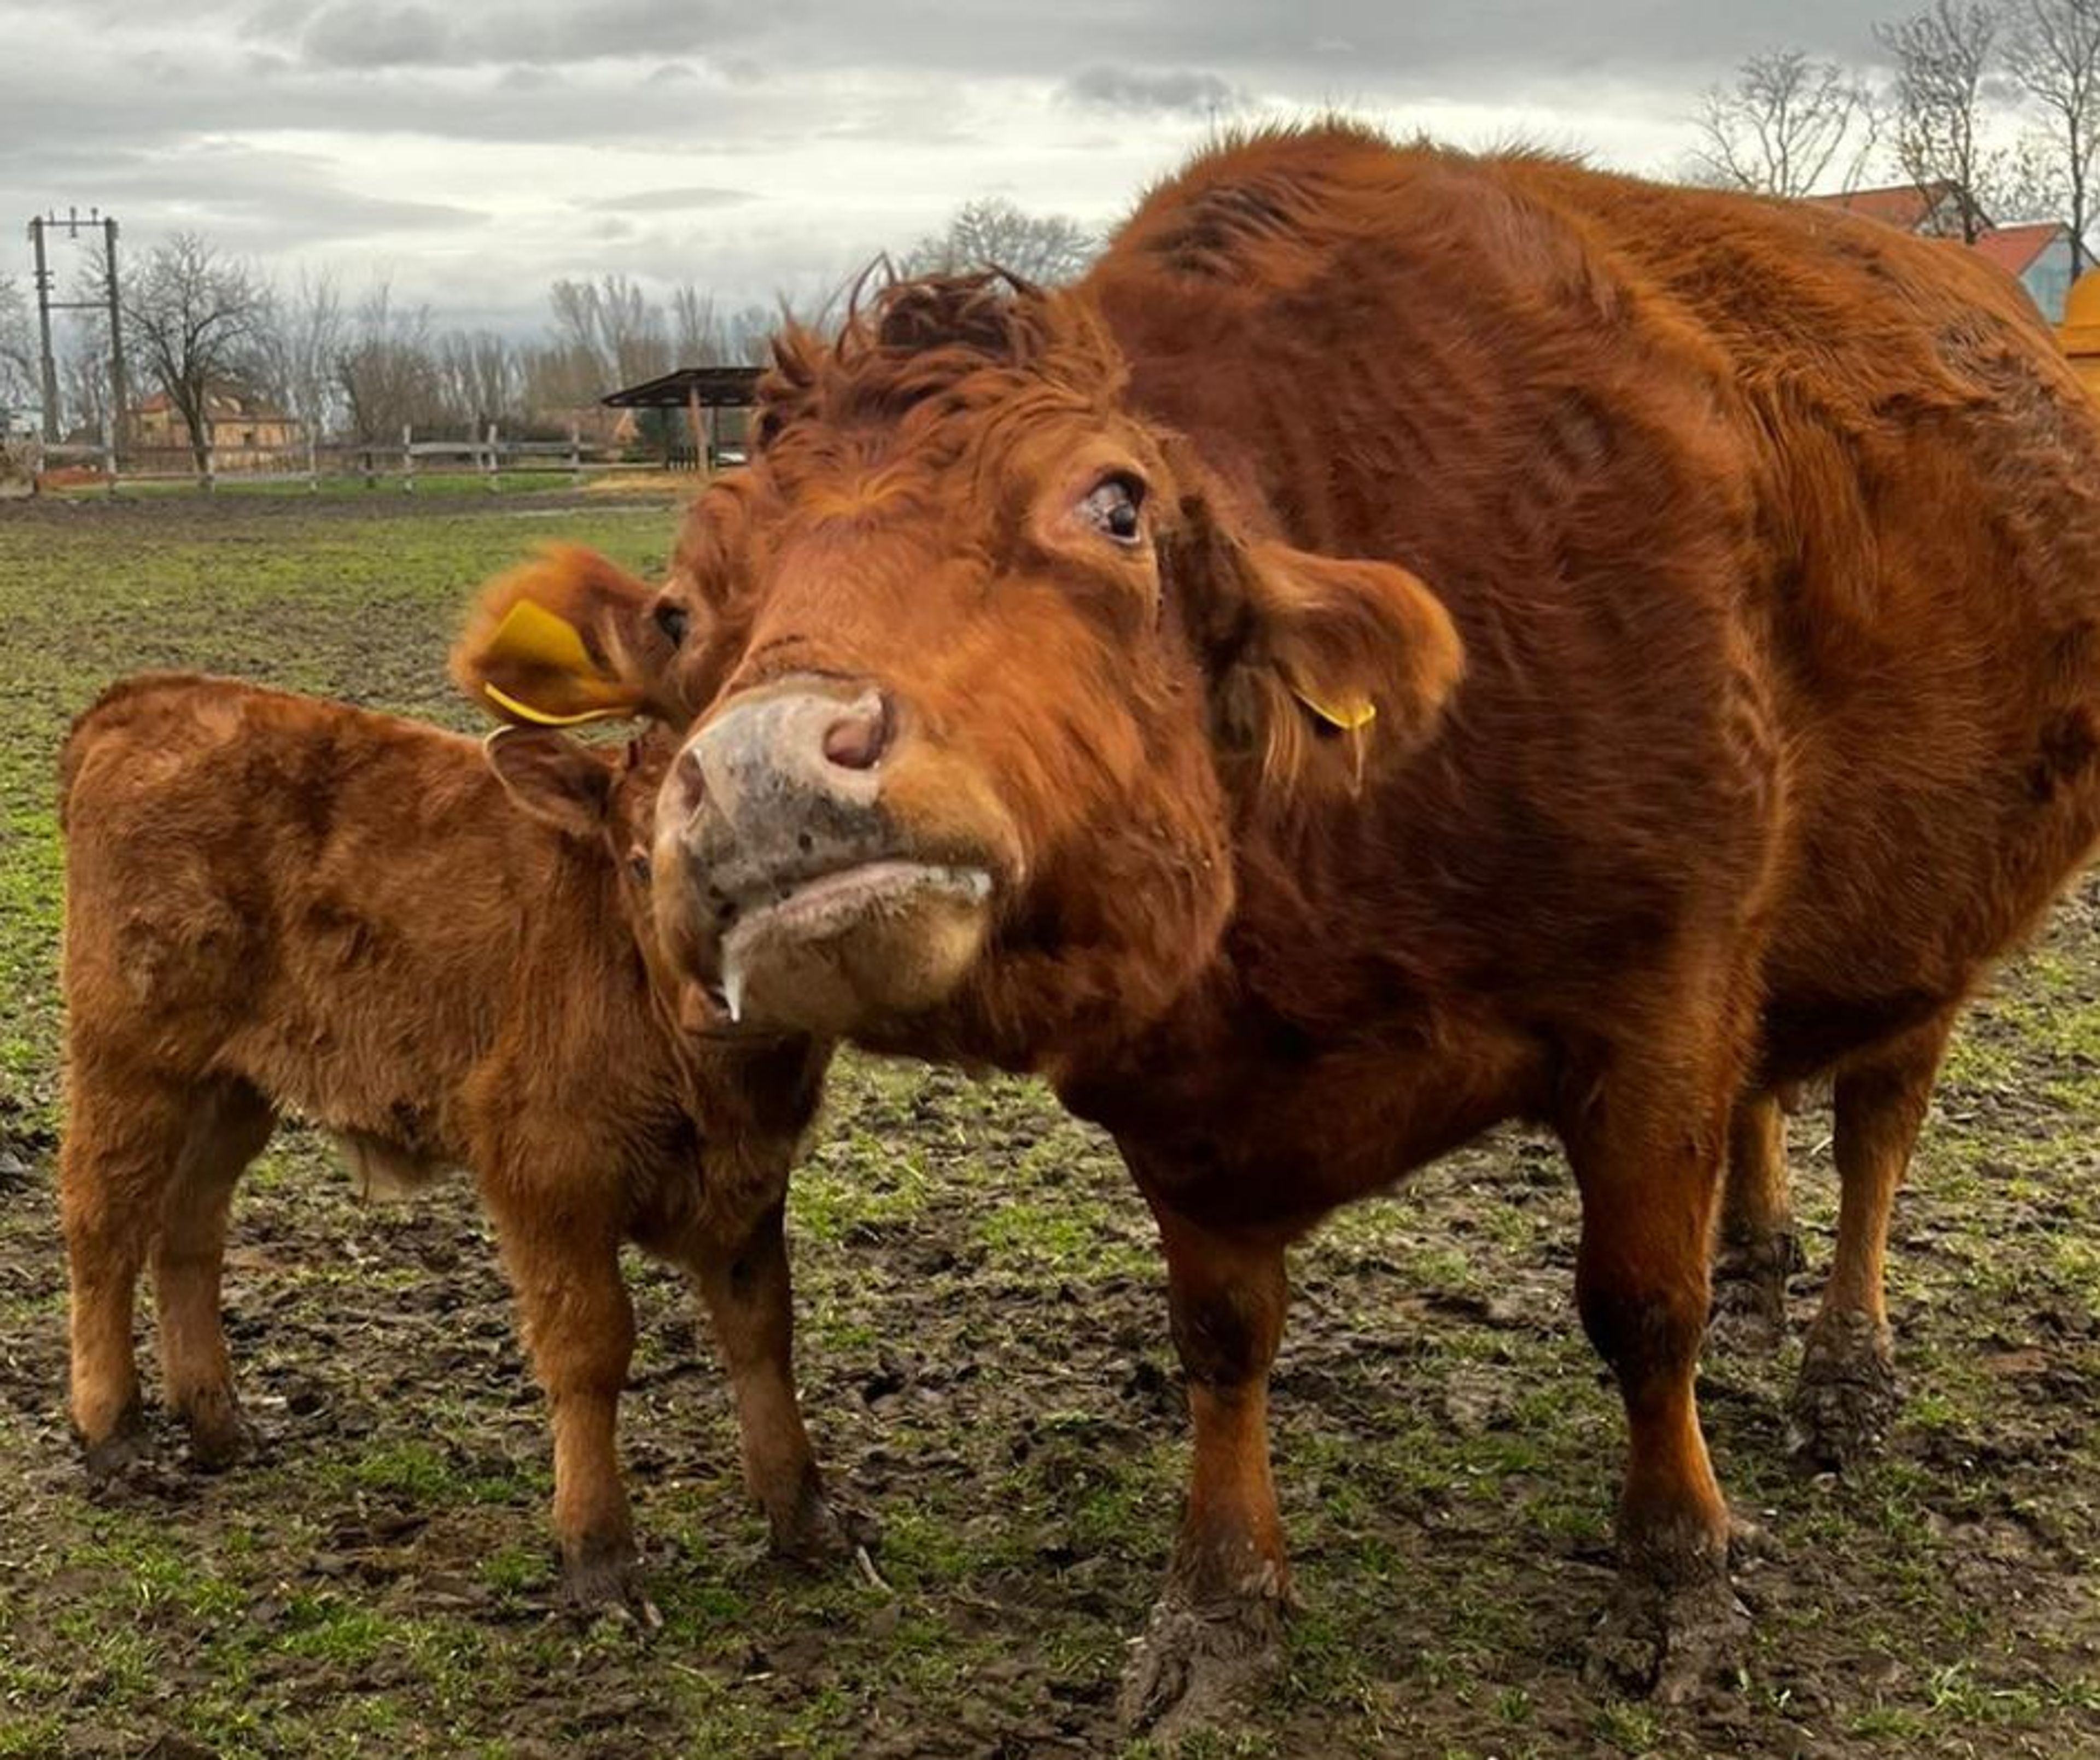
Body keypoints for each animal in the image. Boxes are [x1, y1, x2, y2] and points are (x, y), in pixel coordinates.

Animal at [55, 676, 836, 1613]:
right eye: (639, 863)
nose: (716, 999)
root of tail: (143, 698)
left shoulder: (752, 1180)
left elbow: (763, 1329)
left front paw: (805, 1514)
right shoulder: (547, 1172)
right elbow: (590, 1345)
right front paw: (599, 1550)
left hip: (233, 1084)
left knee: (187, 1229)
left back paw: (216, 1417)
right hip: (131, 1058)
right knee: (103, 1224)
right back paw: (113, 1430)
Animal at [459, 131, 2100, 1730]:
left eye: (1116, 505)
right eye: (682, 613)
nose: (758, 770)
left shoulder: (1662, 999)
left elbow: (1643, 1309)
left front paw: (1679, 1577)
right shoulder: (1184, 1102)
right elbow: (1222, 1340)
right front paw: (1218, 1603)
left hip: (1929, 924)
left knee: (1877, 1127)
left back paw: (1843, 1367)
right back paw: (1761, 1254)